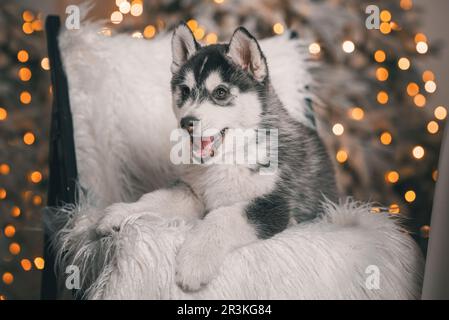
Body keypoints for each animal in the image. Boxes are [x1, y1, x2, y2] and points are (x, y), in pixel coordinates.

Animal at [97, 23, 336, 292]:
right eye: (185, 91)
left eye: (220, 92)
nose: (186, 122)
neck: (229, 159)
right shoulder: (193, 191)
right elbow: (159, 198)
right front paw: (125, 211)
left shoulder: (274, 205)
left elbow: (222, 217)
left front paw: (194, 263)